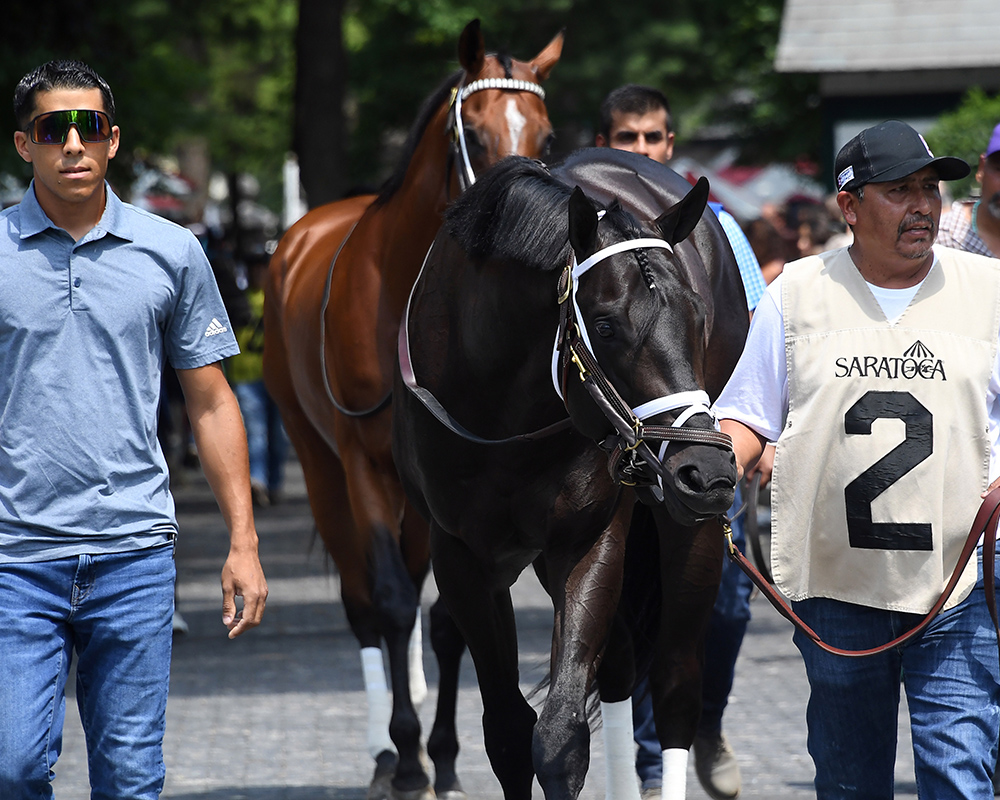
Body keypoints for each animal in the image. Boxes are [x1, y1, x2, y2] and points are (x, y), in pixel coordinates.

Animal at [264, 17, 564, 800]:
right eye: (477, 133)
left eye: (546, 135)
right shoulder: (366, 468)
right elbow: (395, 606)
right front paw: (405, 758)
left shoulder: (445, 489)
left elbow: (448, 619)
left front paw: (447, 758)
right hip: (317, 462)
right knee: (364, 606)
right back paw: (382, 754)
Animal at [394, 152, 748, 800]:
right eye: (605, 326)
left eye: (696, 317)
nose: (706, 471)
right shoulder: (460, 556)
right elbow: (508, 731)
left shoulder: (587, 539)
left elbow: (558, 736)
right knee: (621, 667)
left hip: (689, 530)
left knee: (675, 685)